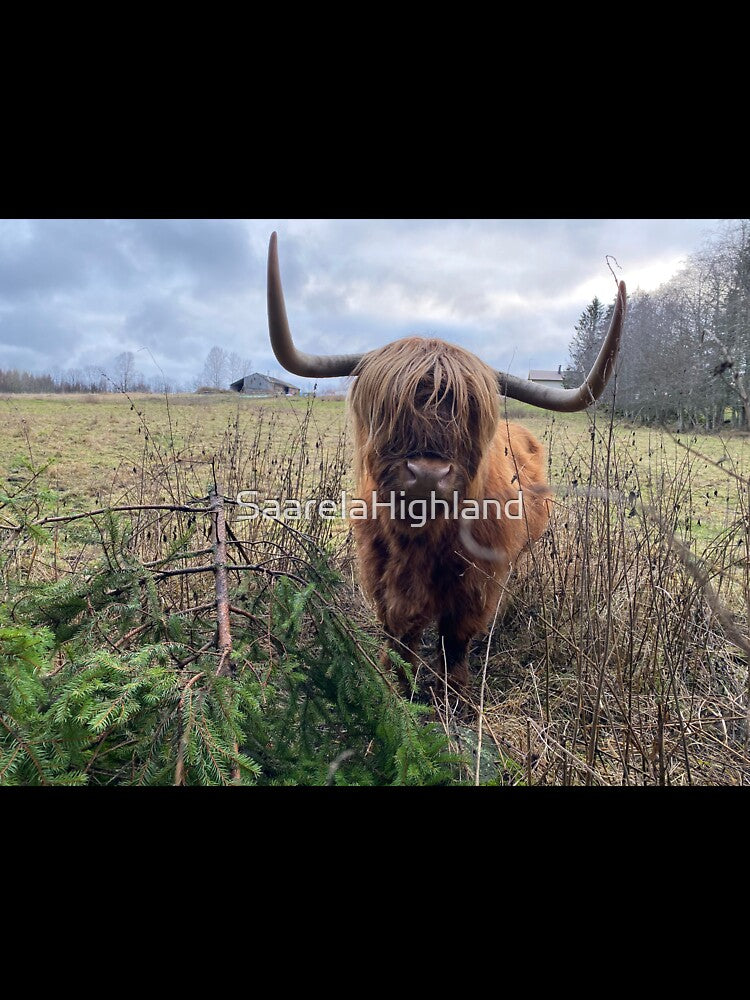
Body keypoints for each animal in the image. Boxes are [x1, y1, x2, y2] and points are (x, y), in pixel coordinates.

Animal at [266, 232, 626, 698]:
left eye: (469, 418)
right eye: (389, 412)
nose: (428, 473)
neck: (423, 538)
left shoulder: (477, 585)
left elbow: (454, 645)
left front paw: (456, 697)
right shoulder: (383, 581)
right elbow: (401, 642)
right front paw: (399, 693)